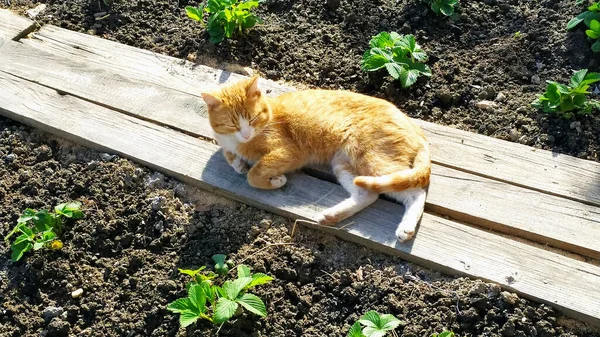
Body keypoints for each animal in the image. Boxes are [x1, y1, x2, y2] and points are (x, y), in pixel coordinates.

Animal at [203, 75, 432, 240]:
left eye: (253, 118)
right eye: (232, 124)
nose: (245, 134)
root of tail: (413, 125)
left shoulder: (289, 152)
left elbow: (254, 174)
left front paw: (275, 180)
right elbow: (230, 156)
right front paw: (238, 163)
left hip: (372, 160)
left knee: (416, 191)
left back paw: (406, 228)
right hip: (344, 165)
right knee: (368, 194)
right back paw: (331, 216)